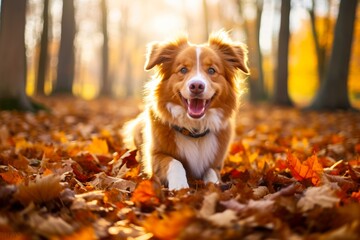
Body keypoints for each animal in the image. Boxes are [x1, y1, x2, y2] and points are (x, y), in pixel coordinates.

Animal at [122, 31, 249, 190]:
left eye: (211, 70)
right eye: (183, 69)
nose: (196, 86)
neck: (194, 130)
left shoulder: (216, 163)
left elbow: (210, 171)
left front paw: (214, 186)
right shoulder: (155, 155)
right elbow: (175, 162)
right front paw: (180, 186)